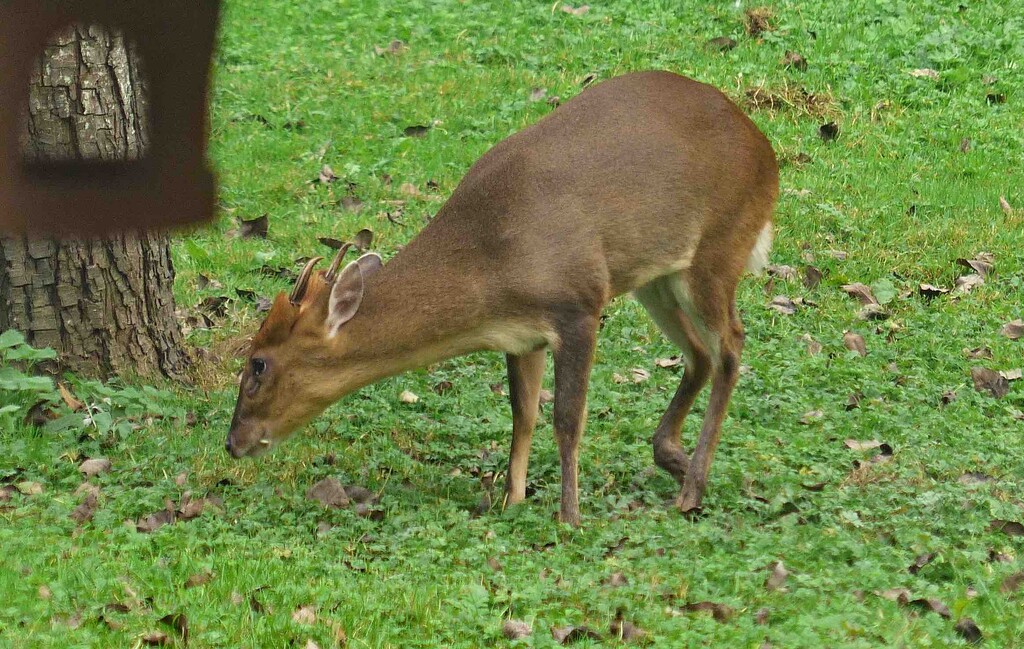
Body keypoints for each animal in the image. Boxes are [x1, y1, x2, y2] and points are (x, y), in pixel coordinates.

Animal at [228, 72, 778, 524]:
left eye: (257, 364)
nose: (233, 443)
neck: (491, 263)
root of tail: (766, 150)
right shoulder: (521, 336)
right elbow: (524, 413)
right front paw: (512, 501)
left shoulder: (578, 303)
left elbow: (567, 418)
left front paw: (569, 517)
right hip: (656, 278)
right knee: (701, 353)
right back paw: (677, 462)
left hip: (718, 247)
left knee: (731, 345)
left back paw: (693, 487)